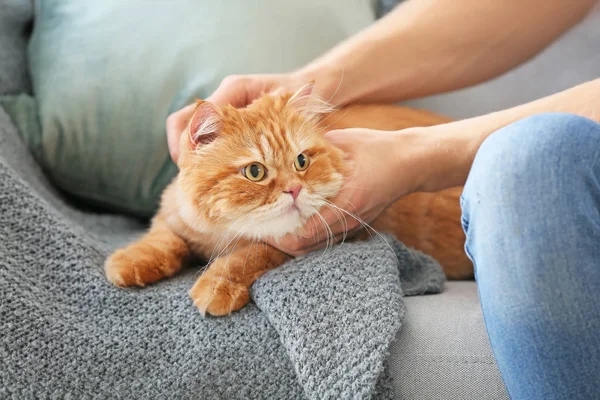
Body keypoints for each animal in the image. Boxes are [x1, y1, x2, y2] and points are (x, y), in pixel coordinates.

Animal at [105, 86, 472, 318]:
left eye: (301, 161)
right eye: (255, 171)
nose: (295, 190)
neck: (223, 234)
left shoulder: (292, 246)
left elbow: (244, 258)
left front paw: (217, 287)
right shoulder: (171, 217)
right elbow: (161, 240)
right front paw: (128, 263)